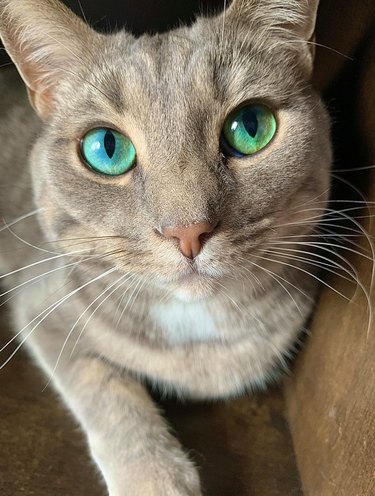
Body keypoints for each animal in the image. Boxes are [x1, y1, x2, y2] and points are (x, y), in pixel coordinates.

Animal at [0, 0, 332, 496]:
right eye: (106, 148)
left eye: (251, 127)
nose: (188, 230)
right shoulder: (43, 307)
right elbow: (105, 386)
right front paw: (155, 477)